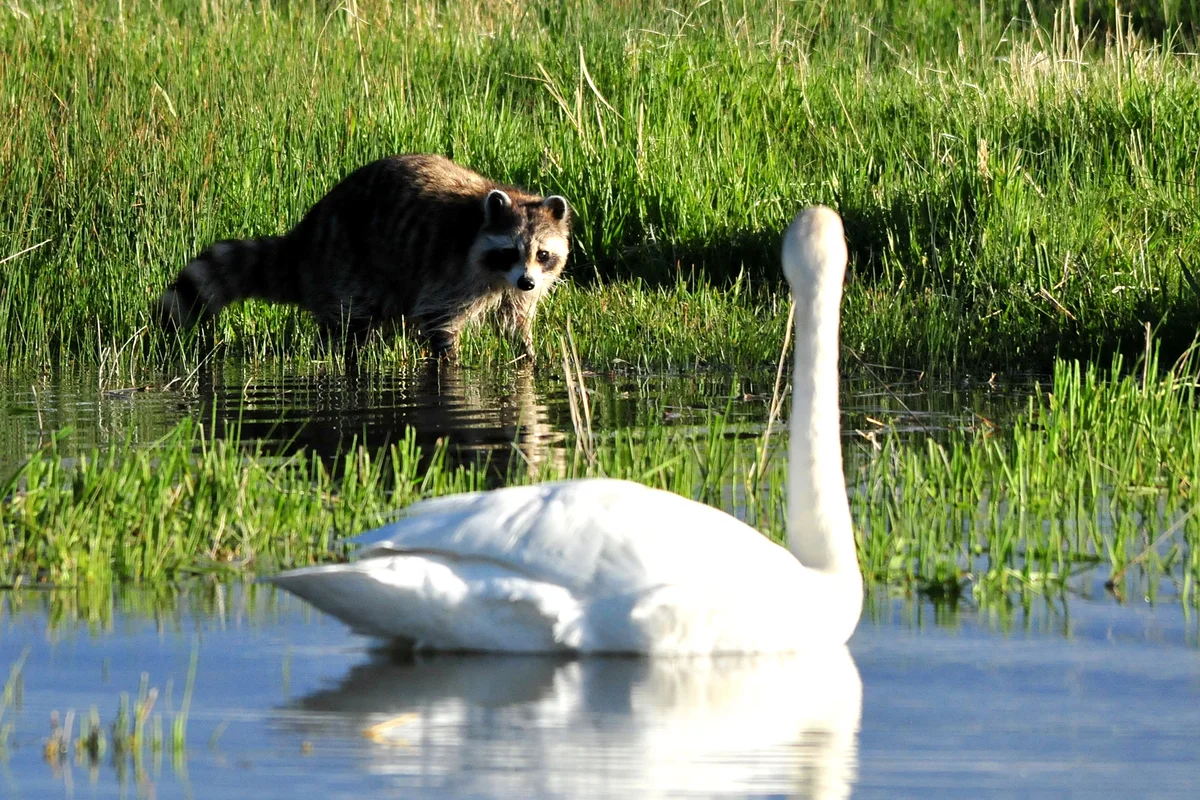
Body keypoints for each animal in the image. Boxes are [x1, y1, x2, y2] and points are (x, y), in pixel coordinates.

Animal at [156, 154, 571, 367]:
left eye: (542, 254)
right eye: (510, 251)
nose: (528, 282)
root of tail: (307, 234)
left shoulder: (512, 287)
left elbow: (514, 321)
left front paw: (527, 354)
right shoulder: (451, 269)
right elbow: (439, 317)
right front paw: (449, 358)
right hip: (345, 261)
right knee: (350, 322)